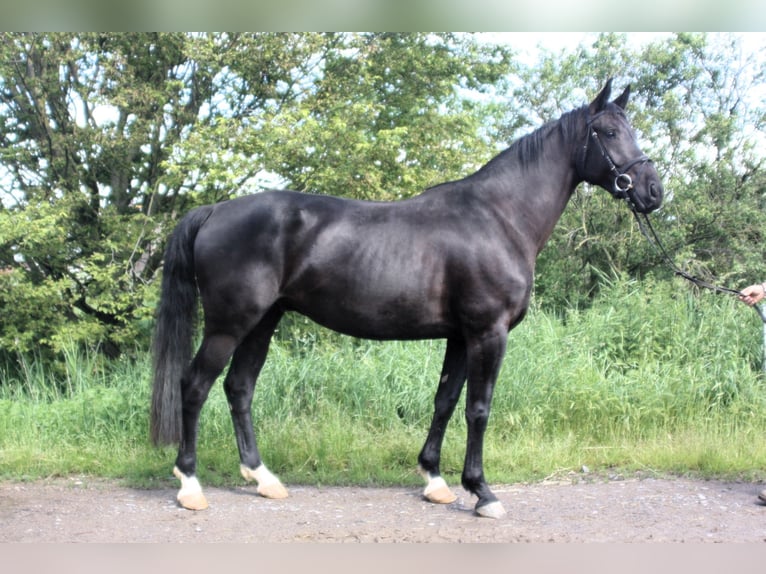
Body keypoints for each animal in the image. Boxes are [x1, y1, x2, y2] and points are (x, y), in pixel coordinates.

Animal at [152, 79, 664, 520]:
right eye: (609, 132)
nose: (653, 191)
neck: (498, 217)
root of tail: (214, 210)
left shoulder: (460, 337)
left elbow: (445, 401)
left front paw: (435, 480)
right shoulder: (488, 333)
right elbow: (478, 409)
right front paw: (482, 492)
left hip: (263, 321)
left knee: (239, 388)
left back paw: (263, 478)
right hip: (229, 323)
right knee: (194, 386)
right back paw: (190, 486)